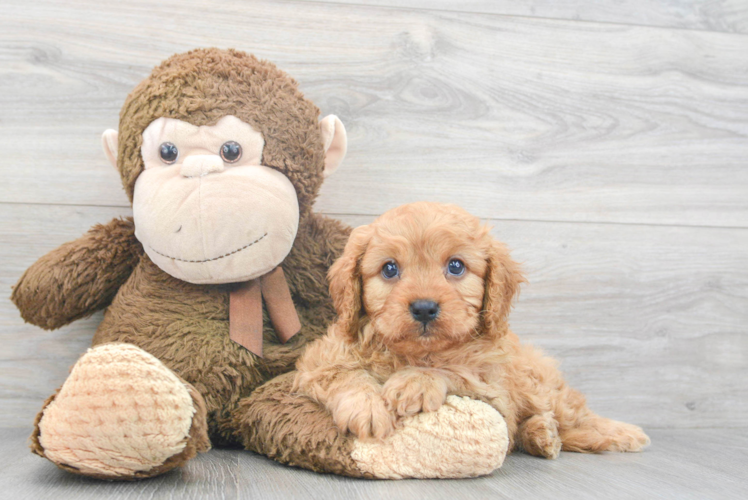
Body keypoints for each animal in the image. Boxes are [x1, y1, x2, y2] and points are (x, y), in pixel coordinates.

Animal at [292, 200, 648, 458]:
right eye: (389, 269)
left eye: (456, 266)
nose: (424, 307)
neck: (416, 353)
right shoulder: (320, 359)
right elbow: (343, 374)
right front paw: (367, 408)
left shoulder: (493, 388)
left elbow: (456, 369)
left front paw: (416, 382)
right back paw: (541, 435)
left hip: (541, 385)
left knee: (575, 416)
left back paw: (615, 433)